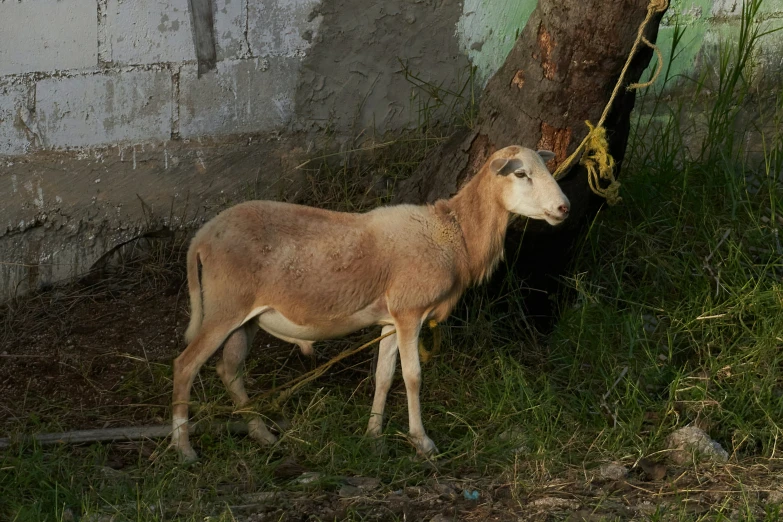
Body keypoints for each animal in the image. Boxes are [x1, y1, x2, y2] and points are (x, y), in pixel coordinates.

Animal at [172, 145, 568, 460]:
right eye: (521, 173)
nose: (564, 208)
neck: (456, 234)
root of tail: (202, 237)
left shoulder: (391, 320)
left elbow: (384, 376)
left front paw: (374, 435)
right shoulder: (409, 312)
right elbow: (412, 376)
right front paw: (422, 441)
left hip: (245, 318)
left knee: (230, 371)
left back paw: (262, 434)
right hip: (225, 306)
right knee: (186, 365)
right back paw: (184, 448)